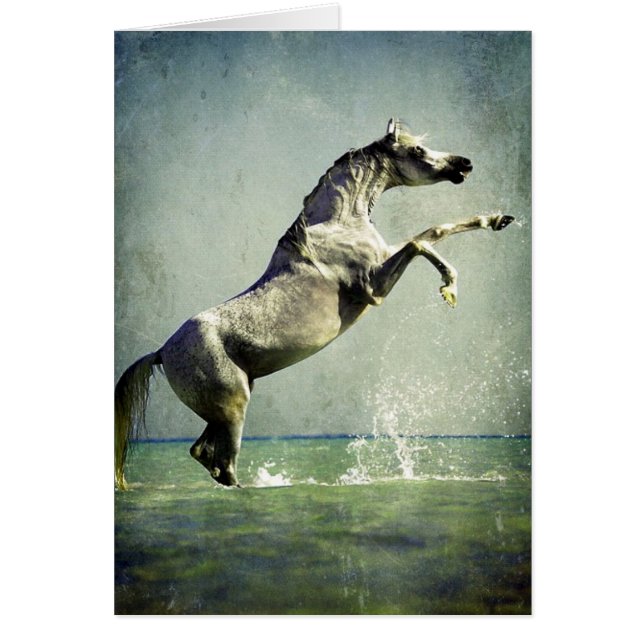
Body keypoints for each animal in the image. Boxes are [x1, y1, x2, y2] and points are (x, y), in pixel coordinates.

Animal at [115, 118, 514, 490]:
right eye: (416, 150)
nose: (464, 164)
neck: (338, 224)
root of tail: (162, 352)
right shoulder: (375, 287)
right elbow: (420, 241)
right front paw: (450, 287)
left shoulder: (384, 263)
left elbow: (434, 232)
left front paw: (498, 220)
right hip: (233, 407)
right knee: (223, 463)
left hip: (224, 408)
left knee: (204, 454)